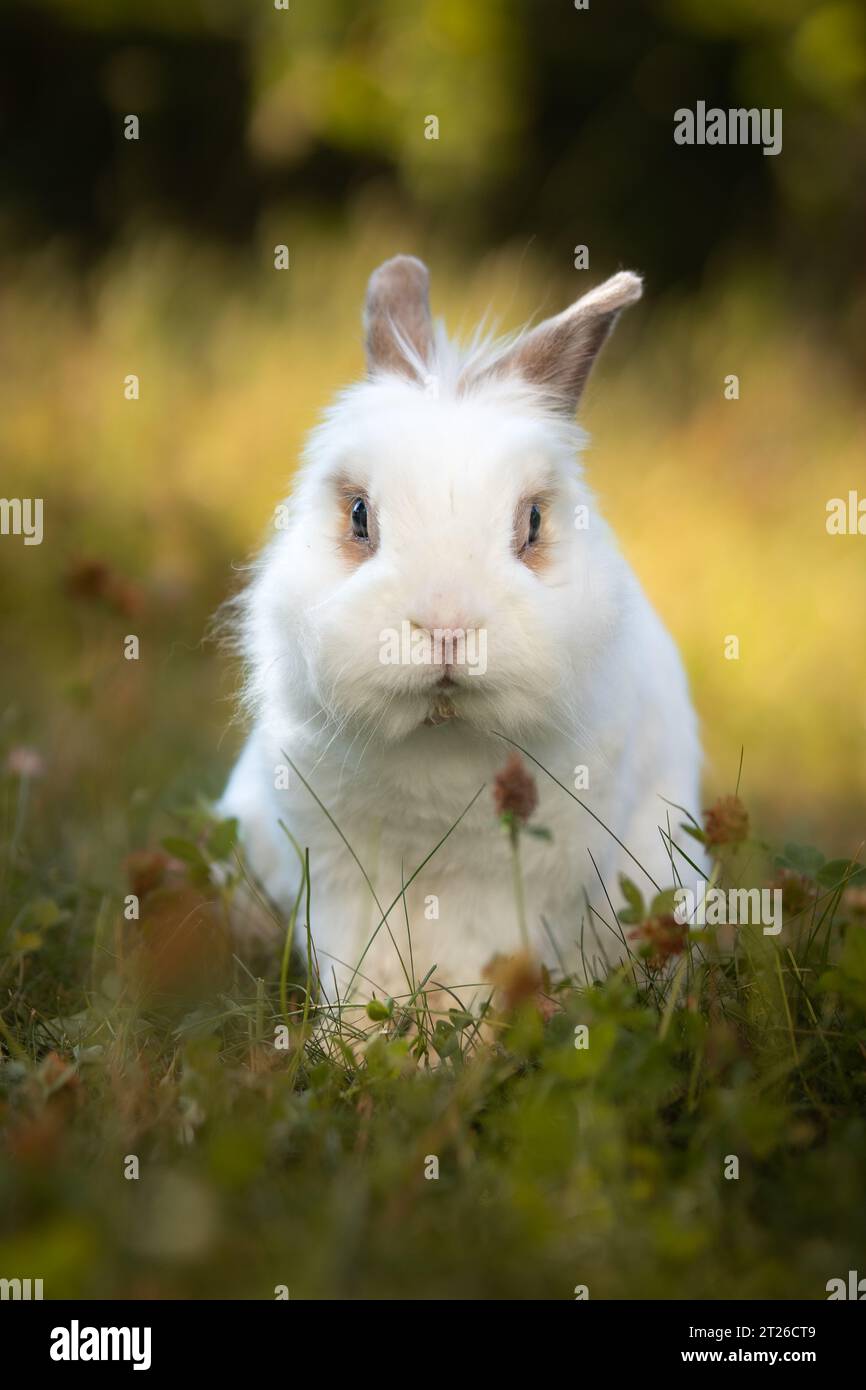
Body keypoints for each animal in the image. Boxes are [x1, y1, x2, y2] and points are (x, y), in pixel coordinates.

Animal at [218, 256, 707, 1003]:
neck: (440, 731)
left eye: (532, 522)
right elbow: (358, 964)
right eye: (359, 515)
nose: (446, 625)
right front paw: (356, 1030)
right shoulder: (338, 874)